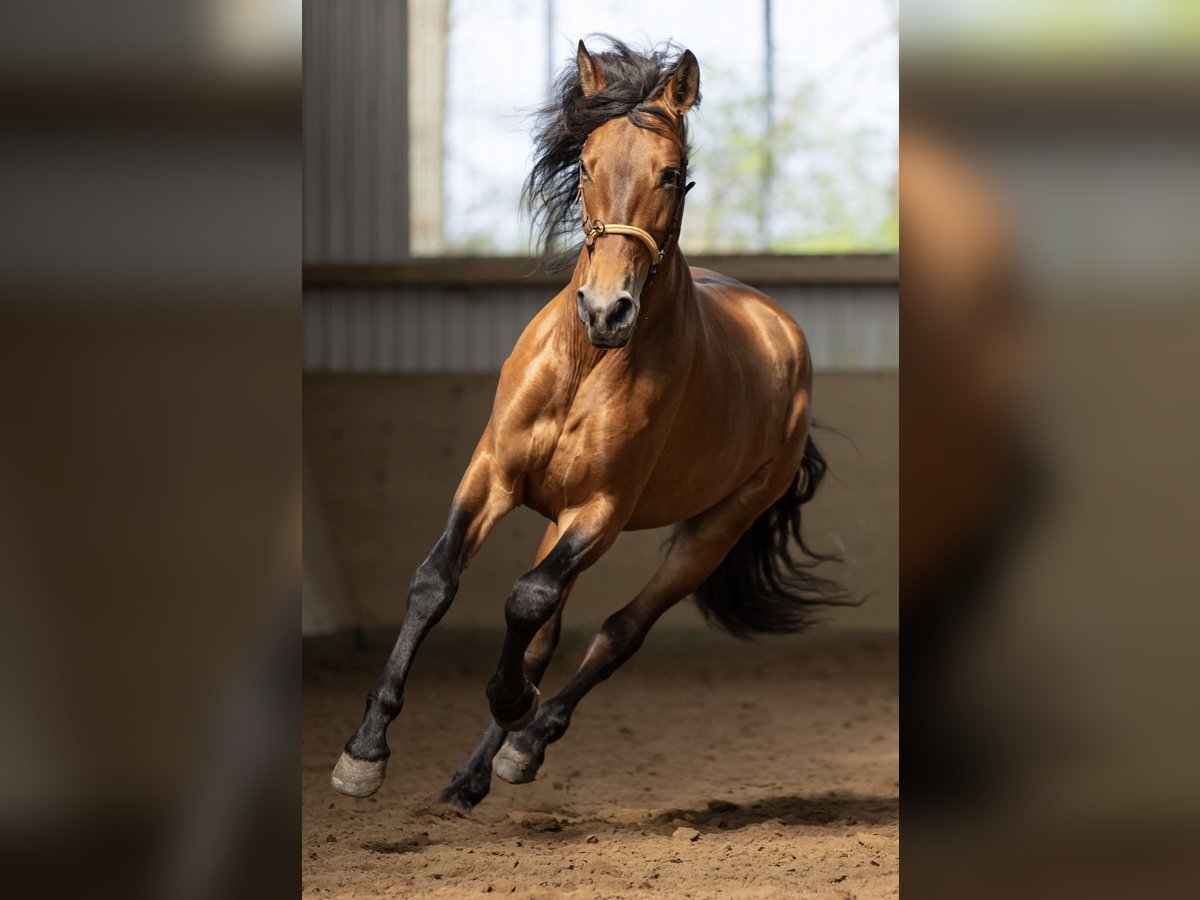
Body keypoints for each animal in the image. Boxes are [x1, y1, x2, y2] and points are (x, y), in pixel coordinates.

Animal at [331, 38, 844, 806]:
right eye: (586, 165)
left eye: (671, 172)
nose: (606, 310)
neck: (586, 365)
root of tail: (782, 331)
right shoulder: (493, 474)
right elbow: (436, 583)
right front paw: (365, 751)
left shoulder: (602, 509)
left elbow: (527, 600)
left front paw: (513, 703)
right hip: (558, 514)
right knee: (548, 629)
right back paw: (470, 778)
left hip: (710, 532)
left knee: (618, 631)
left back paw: (526, 742)